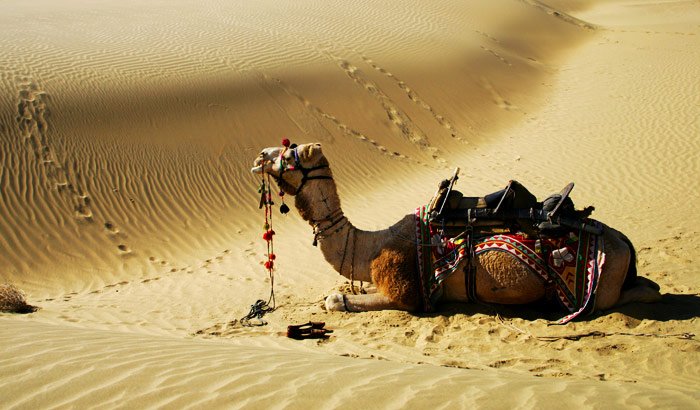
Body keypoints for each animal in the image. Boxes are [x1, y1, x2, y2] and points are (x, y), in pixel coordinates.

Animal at [252, 142, 660, 318]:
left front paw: (338, 299)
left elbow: (335, 299)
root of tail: (624, 242)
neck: (372, 244)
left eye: (287, 153)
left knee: (644, 293)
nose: (257, 156)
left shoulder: (408, 294)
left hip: (605, 284)